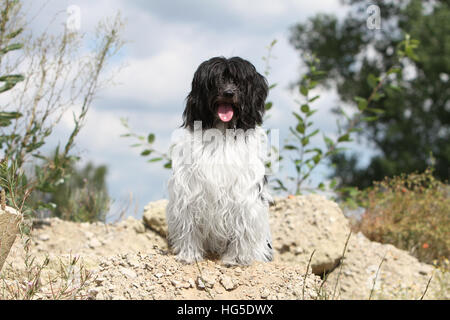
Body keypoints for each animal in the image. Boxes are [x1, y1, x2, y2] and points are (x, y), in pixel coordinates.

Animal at [164, 57, 270, 264]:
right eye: (215, 80)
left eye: (238, 81)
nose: (228, 93)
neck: (222, 131)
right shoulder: (190, 189)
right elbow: (189, 224)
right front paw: (189, 255)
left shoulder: (243, 193)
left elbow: (241, 225)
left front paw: (236, 258)